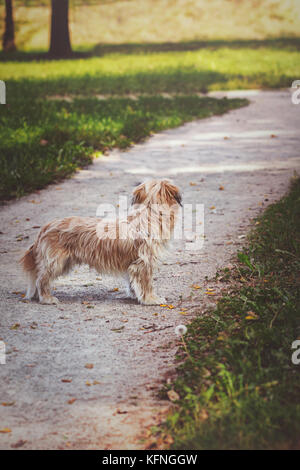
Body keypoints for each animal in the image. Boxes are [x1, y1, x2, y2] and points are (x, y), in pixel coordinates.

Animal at [21, 179, 182, 304]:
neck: (148, 215)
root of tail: (45, 227)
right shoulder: (143, 264)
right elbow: (146, 284)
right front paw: (151, 299)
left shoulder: (132, 265)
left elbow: (132, 283)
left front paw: (135, 295)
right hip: (56, 262)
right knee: (41, 279)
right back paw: (46, 298)